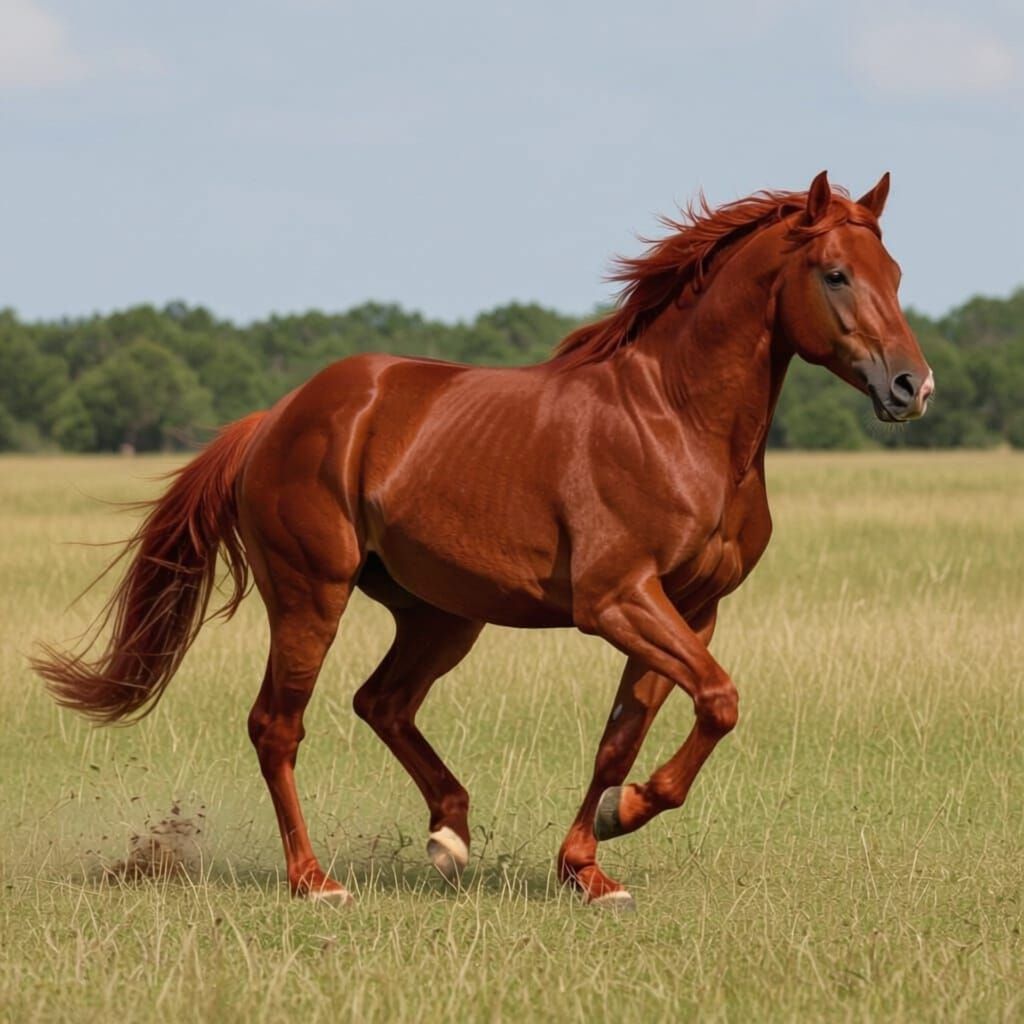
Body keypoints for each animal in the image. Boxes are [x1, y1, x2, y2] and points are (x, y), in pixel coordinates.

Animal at [34, 171, 933, 909]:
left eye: (895, 274)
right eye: (836, 273)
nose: (911, 386)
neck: (676, 421)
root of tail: (277, 417)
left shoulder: (690, 608)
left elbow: (622, 737)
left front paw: (591, 864)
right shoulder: (618, 600)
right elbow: (718, 699)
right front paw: (628, 815)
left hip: (440, 615)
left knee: (382, 702)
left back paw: (449, 836)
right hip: (311, 595)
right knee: (277, 726)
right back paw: (315, 881)